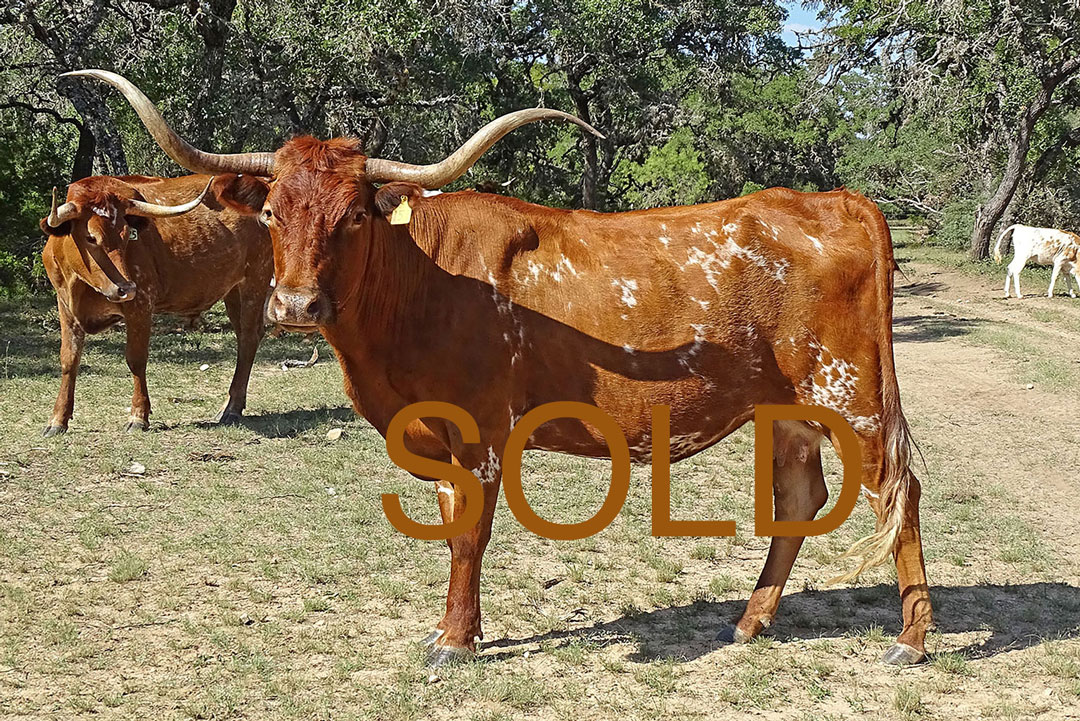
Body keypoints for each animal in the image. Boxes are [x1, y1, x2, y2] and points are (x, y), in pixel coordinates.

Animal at [39, 171, 274, 436]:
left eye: (127, 235)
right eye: (90, 237)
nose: (126, 288)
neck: (81, 285)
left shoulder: (141, 303)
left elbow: (136, 359)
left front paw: (138, 415)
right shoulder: (65, 306)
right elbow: (69, 360)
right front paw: (58, 419)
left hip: (256, 279)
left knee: (248, 337)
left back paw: (232, 408)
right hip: (233, 290)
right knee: (246, 335)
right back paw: (228, 406)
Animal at [67, 70, 933, 669]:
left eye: (354, 216)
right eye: (275, 212)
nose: (295, 303)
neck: (422, 284)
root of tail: (839, 200)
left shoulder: (481, 429)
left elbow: (469, 533)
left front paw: (453, 640)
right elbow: (453, 521)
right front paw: (462, 626)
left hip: (851, 394)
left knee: (899, 492)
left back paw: (913, 638)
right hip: (788, 408)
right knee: (800, 498)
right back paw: (751, 620)